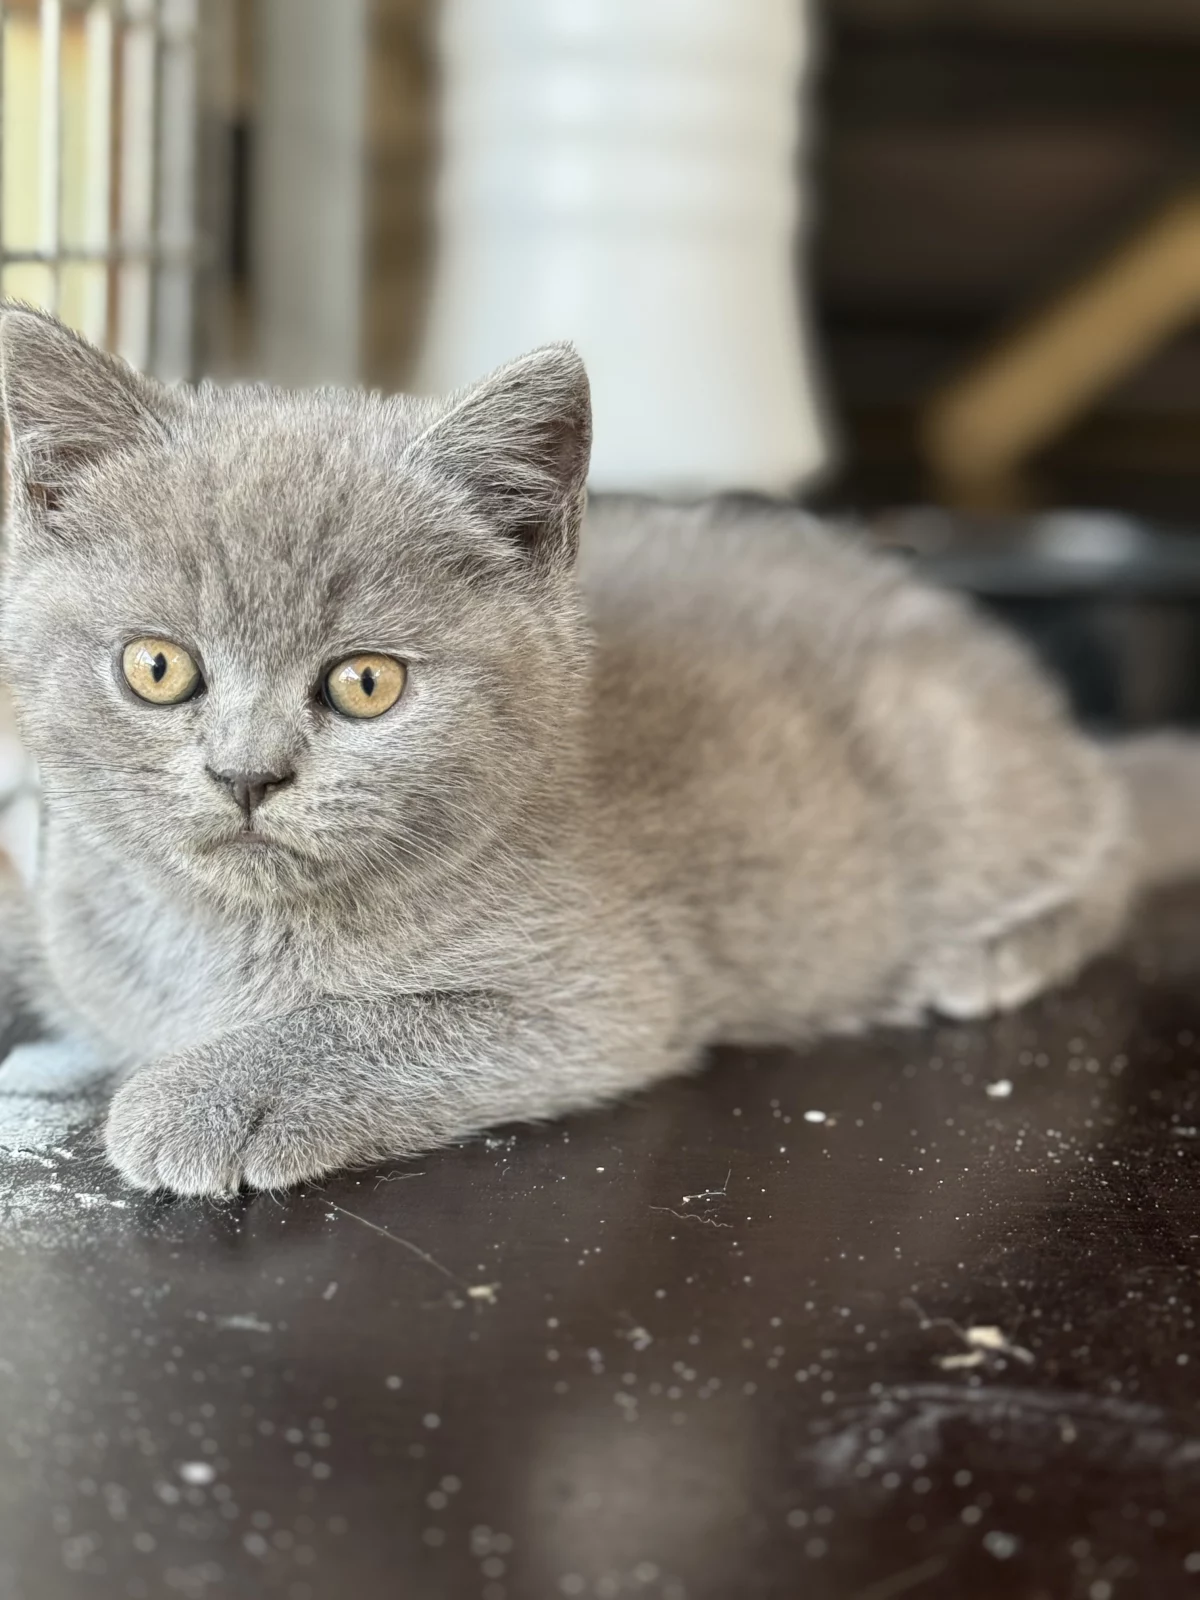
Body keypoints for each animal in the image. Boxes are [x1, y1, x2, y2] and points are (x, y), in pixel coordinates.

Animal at [0, 303, 1195, 1198]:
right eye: (158, 667)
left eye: (366, 683)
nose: (247, 774)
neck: (231, 937)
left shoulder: (598, 999)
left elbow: (365, 1022)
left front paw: (203, 1095)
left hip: (960, 773)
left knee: (1112, 844)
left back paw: (993, 956)